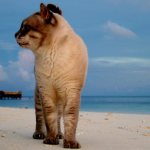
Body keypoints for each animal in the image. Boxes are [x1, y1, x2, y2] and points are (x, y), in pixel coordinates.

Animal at [14, 2, 88, 148]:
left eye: (25, 28)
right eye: (21, 27)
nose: (15, 34)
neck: (49, 53)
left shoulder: (71, 91)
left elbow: (70, 119)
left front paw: (70, 142)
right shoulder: (46, 91)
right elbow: (49, 119)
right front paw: (51, 140)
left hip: (60, 98)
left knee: (59, 117)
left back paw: (60, 135)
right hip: (40, 95)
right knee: (40, 117)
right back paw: (40, 134)